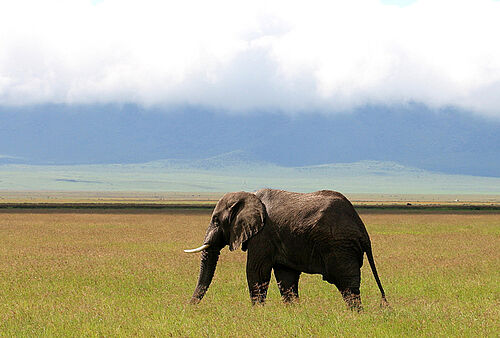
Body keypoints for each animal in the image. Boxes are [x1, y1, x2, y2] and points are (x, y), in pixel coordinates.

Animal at [184, 187, 386, 308]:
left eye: (216, 220)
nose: (189, 308)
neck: (249, 195)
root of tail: (361, 227)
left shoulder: (263, 235)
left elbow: (256, 272)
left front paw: (257, 312)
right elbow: (286, 278)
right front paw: (293, 312)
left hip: (339, 245)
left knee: (347, 284)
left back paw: (355, 315)